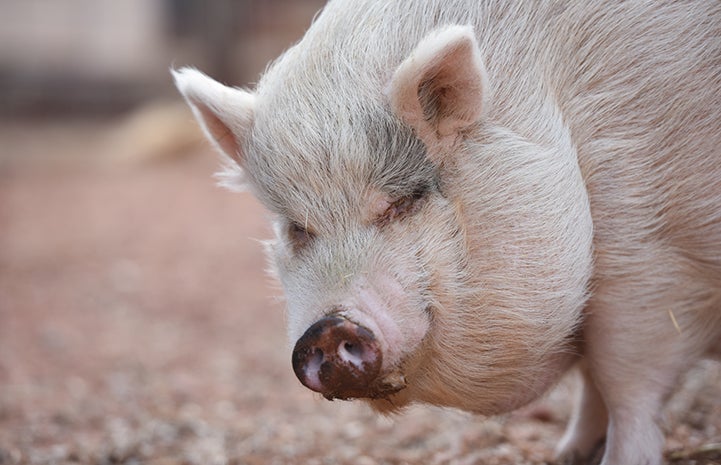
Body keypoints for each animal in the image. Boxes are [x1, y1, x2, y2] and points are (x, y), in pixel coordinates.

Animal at [172, 1, 721, 464]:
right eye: (298, 229)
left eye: (402, 202)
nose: (328, 329)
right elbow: (595, 382)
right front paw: (567, 456)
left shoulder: (650, 250)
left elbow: (626, 385)